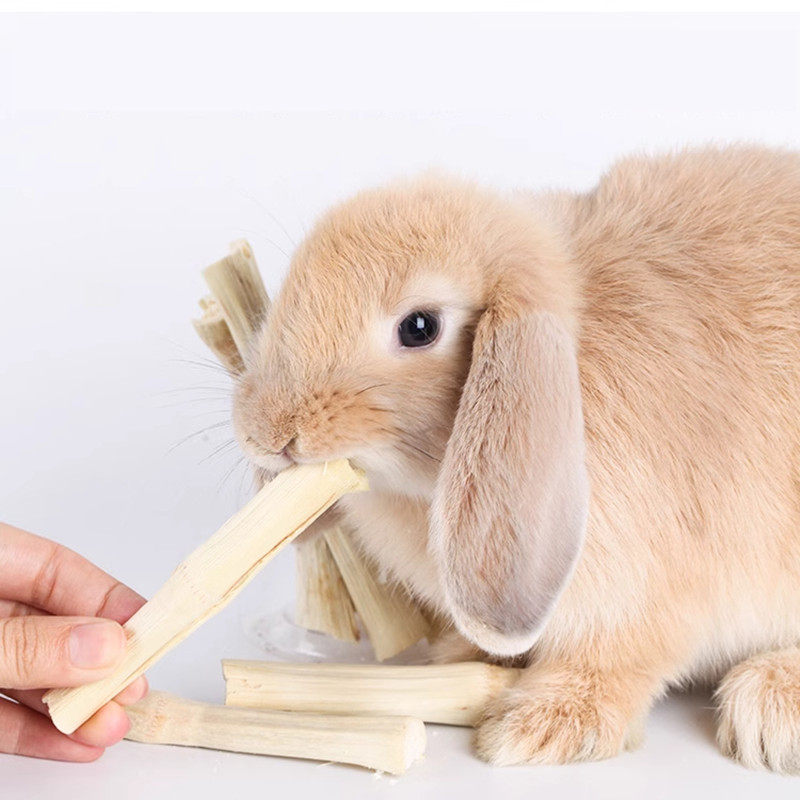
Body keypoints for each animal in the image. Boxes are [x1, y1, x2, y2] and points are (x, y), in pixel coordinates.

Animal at [232, 146, 800, 772]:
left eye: (420, 327)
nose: (268, 430)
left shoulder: (641, 598)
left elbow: (614, 661)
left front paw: (538, 725)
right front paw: (457, 657)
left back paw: (769, 707)